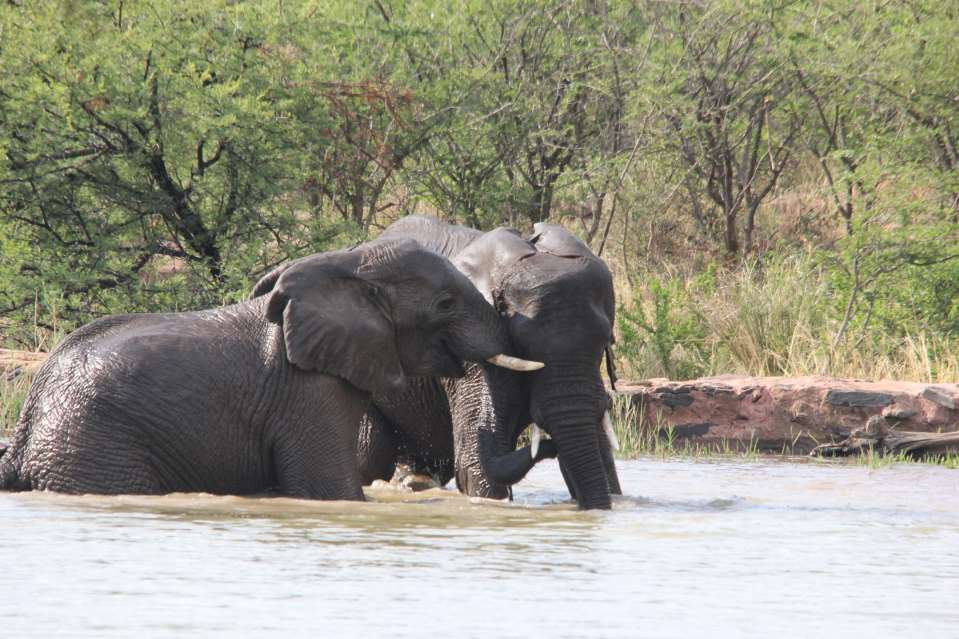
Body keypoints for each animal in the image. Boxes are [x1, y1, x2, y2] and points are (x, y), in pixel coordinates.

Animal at [0, 240, 540, 500]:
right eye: (445, 304)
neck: (347, 264)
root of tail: (24, 432)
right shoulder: (309, 392)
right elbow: (330, 491)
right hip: (96, 451)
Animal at [356, 218, 620, 512]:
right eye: (520, 341)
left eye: (605, 340)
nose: (548, 445)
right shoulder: (468, 342)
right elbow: (473, 464)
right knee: (370, 456)